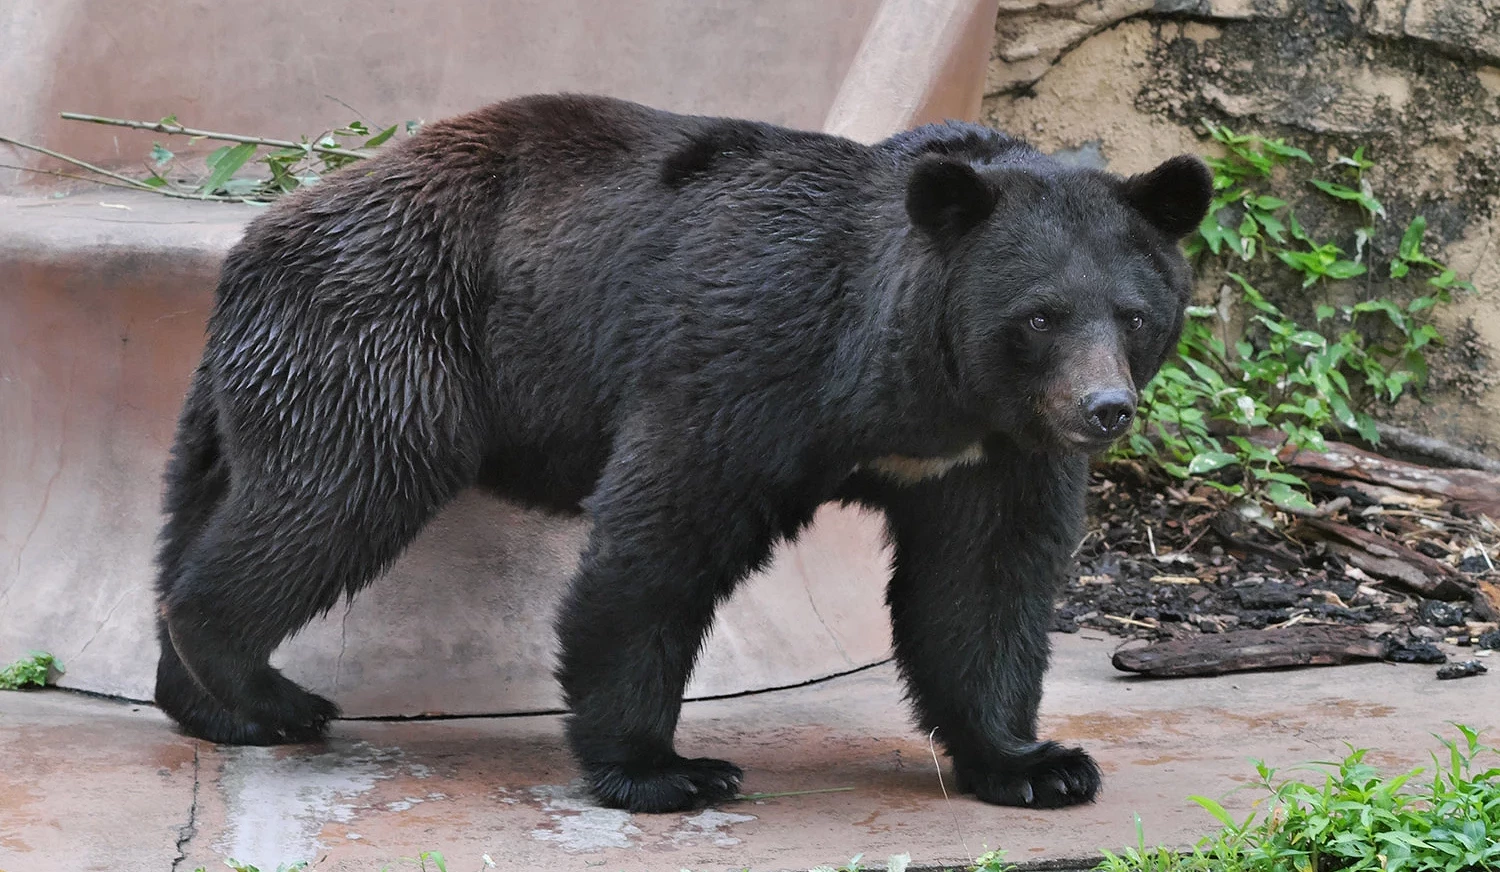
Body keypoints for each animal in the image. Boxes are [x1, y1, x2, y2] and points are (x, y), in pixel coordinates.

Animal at [152, 93, 1212, 814]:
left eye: (1134, 313)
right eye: (1039, 316)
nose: (1105, 409)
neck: (914, 387)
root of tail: (254, 244)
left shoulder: (992, 453)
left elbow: (983, 580)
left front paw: (1037, 763)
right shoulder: (749, 360)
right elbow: (662, 542)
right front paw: (665, 767)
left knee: (213, 504)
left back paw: (210, 705)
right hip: (383, 338)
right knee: (332, 497)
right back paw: (268, 691)